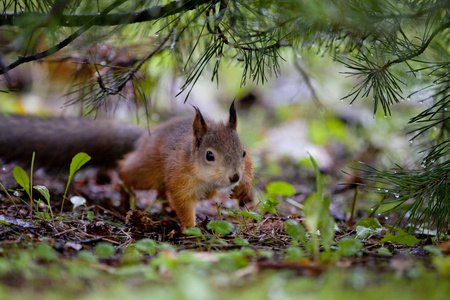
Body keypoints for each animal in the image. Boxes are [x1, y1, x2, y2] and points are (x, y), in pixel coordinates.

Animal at [0, 102, 253, 227]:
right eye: (209, 156)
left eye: (243, 151)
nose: (234, 177)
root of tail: (143, 139)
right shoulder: (179, 177)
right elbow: (182, 202)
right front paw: (191, 228)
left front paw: (244, 188)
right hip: (145, 171)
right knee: (125, 171)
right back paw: (125, 199)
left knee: (167, 194)